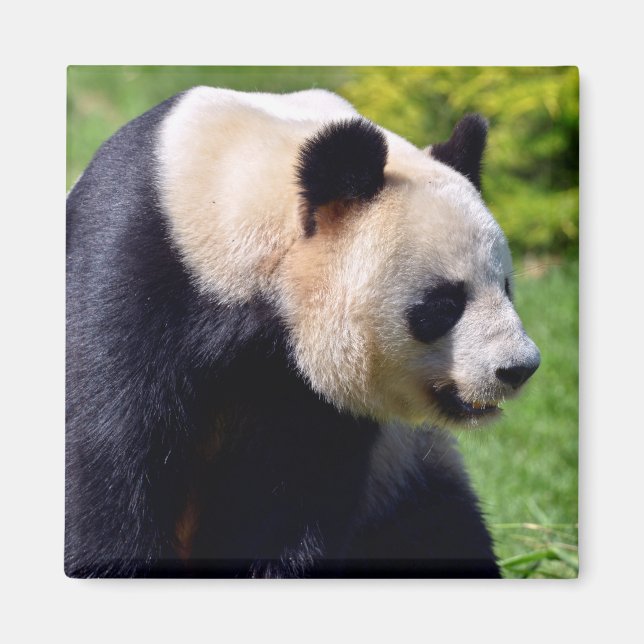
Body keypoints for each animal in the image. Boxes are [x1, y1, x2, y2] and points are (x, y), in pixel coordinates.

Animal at [65, 86, 540, 578]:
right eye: (443, 305)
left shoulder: (310, 395)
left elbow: (290, 491)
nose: (518, 368)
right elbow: (114, 454)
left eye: (506, 286)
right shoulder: (136, 270)